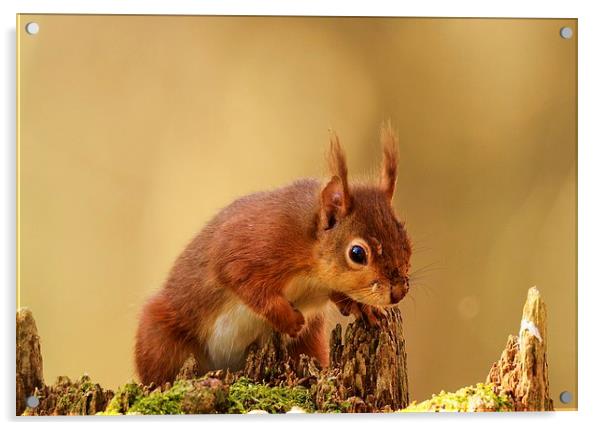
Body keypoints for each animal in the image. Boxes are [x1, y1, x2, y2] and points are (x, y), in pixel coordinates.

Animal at [134, 122, 410, 384]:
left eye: (406, 239)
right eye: (357, 253)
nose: (399, 292)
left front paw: (362, 307)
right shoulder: (253, 247)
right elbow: (247, 285)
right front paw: (289, 319)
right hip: (161, 338)